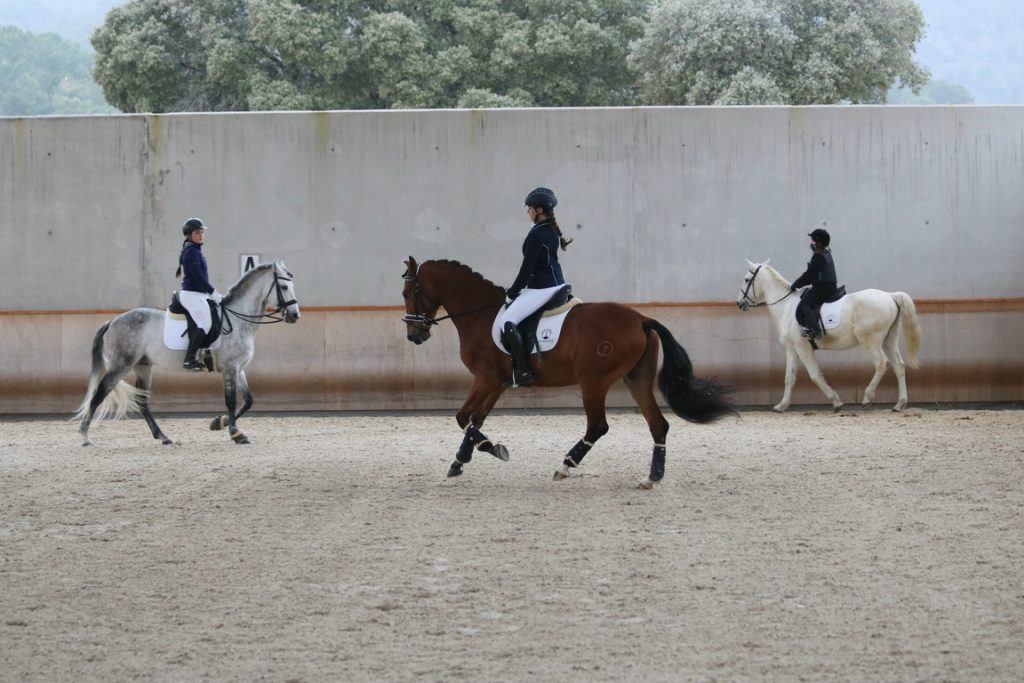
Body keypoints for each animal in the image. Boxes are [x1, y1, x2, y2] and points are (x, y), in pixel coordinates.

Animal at [75, 259, 299, 446]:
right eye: (284, 287)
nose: (295, 315)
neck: (238, 320)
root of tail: (112, 321)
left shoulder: (238, 368)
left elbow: (248, 400)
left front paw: (218, 423)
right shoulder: (230, 368)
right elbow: (231, 400)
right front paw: (236, 434)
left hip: (143, 366)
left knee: (142, 402)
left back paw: (164, 437)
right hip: (120, 366)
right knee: (98, 395)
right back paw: (85, 437)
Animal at [401, 254, 737, 485]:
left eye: (407, 293)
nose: (415, 336)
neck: (479, 314)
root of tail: (641, 318)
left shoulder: (485, 379)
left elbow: (463, 418)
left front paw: (493, 449)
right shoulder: (496, 383)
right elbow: (476, 419)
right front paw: (459, 461)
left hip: (593, 381)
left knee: (598, 426)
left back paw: (564, 466)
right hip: (636, 380)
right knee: (658, 424)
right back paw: (651, 479)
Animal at [737, 260, 921, 411]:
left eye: (746, 279)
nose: (739, 303)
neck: (787, 307)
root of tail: (890, 296)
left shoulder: (803, 348)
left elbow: (815, 376)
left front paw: (836, 402)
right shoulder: (792, 349)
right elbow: (789, 377)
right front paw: (781, 406)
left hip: (870, 341)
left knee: (882, 364)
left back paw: (867, 398)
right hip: (889, 340)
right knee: (899, 366)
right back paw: (900, 404)